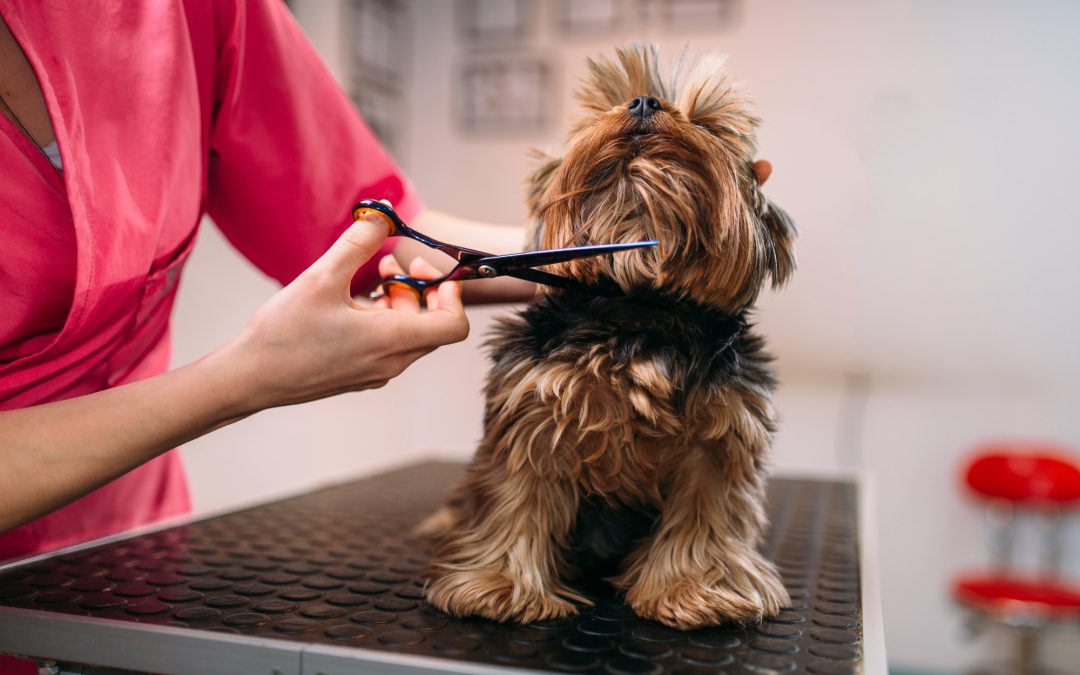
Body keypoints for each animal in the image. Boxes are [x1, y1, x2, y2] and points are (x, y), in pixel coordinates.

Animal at [416, 44, 799, 630]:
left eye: (708, 124)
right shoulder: (534, 407)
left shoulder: (724, 432)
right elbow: (516, 497)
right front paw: (500, 585)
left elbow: (706, 513)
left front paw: (696, 588)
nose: (643, 102)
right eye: (603, 107)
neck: (634, 308)